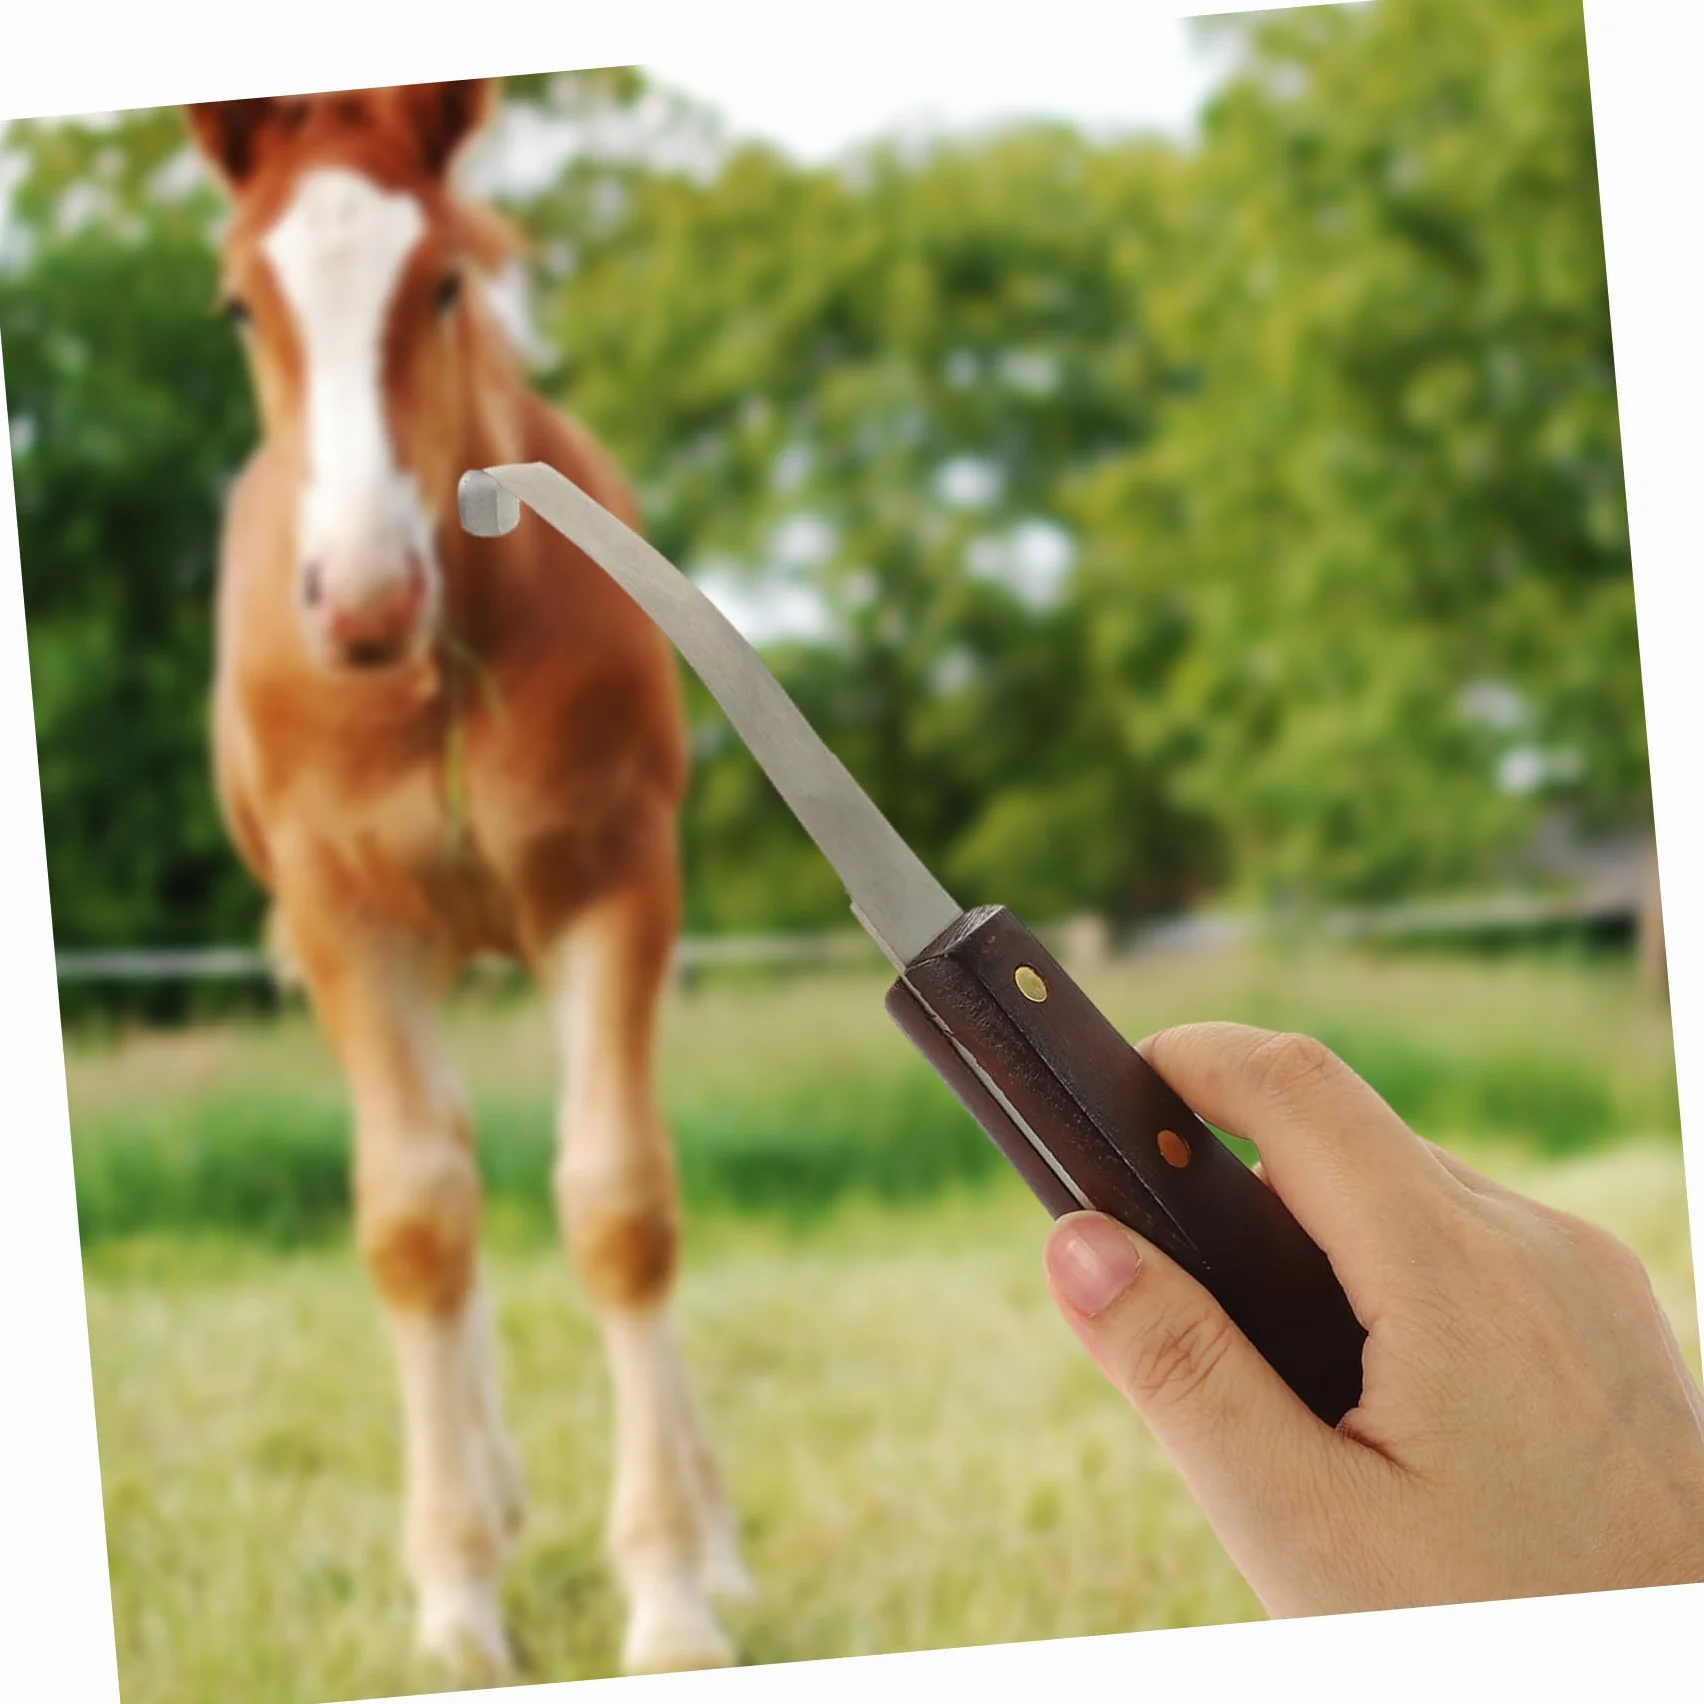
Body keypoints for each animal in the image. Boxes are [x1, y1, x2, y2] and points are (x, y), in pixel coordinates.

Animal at [183, 79, 751, 1680]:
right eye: (239, 305)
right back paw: (488, 1505)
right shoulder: (345, 920)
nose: (364, 596)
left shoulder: (614, 886)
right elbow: (415, 1219)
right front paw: (452, 1603)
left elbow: (620, 1203)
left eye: (441, 283)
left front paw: (672, 1595)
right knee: (438, 1172)